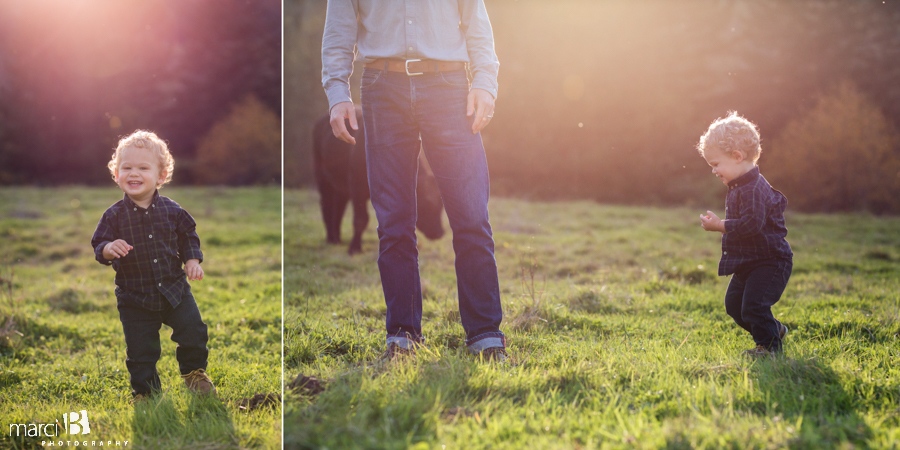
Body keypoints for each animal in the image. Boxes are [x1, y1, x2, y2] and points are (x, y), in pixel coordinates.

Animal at [312, 109, 446, 255]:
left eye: (441, 204)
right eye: (427, 202)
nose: (439, 233)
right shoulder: (357, 189)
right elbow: (361, 219)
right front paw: (354, 247)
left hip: (341, 186)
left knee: (339, 209)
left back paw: (337, 239)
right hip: (322, 179)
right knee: (326, 205)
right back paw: (331, 238)